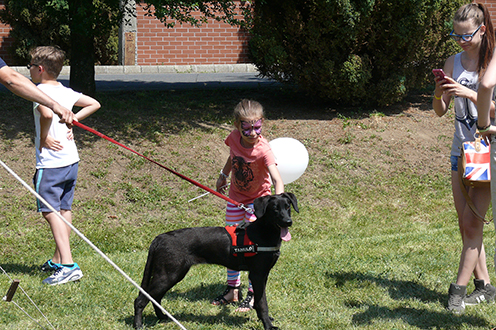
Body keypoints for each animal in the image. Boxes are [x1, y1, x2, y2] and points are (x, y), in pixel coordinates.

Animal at [132, 192, 300, 328]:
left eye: (288, 207)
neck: (263, 232)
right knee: (141, 299)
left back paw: (162, 317)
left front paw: (265, 319)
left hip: (170, 275)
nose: (288, 222)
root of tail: (159, 238)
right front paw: (268, 325)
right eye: (275, 209)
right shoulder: (257, 275)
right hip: (168, 275)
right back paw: (138, 325)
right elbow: (262, 302)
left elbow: (260, 301)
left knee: (155, 297)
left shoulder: (263, 274)